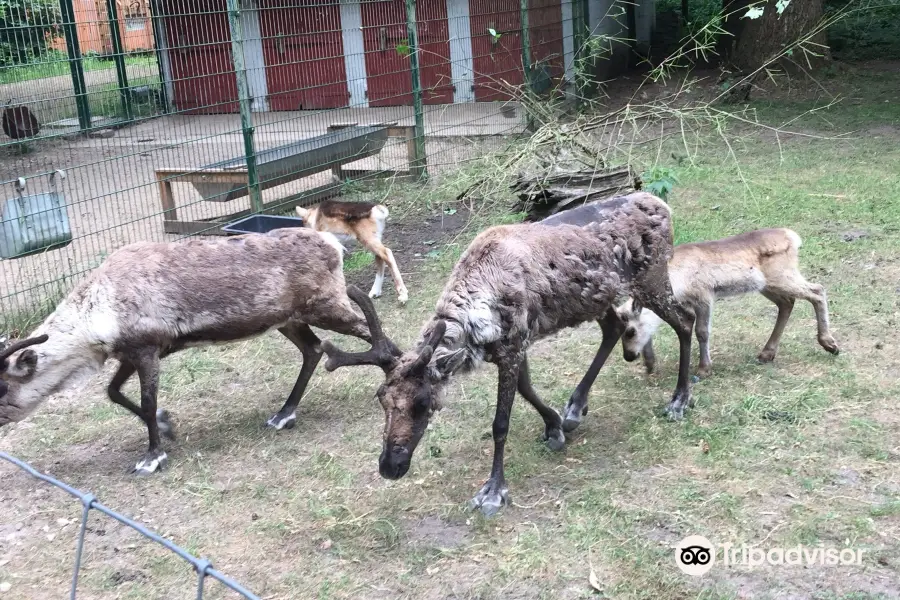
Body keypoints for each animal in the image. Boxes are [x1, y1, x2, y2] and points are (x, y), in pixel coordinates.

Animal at [0, 229, 372, 474]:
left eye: (4, 386)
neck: (96, 311)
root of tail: (333, 243)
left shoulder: (147, 349)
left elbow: (146, 402)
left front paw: (153, 457)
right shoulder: (131, 354)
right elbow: (113, 392)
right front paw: (167, 426)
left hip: (327, 307)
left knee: (367, 330)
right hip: (288, 320)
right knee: (313, 349)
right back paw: (284, 414)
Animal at [324, 193, 696, 516]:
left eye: (423, 402)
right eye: (381, 397)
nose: (390, 466)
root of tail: (662, 204)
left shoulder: (512, 347)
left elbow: (500, 423)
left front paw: (493, 490)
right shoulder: (514, 345)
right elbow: (527, 388)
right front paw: (555, 425)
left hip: (652, 279)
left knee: (685, 321)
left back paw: (679, 399)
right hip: (598, 297)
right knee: (616, 327)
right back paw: (576, 407)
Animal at [616, 227, 840, 378]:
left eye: (630, 331)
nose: (628, 356)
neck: (676, 283)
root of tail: (793, 237)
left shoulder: (704, 295)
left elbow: (702, 332)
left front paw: (704, 368)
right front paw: (650, 364)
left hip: (783, 276)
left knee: (817, 290)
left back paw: (829, 343)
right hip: (767, 285)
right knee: (787, 303)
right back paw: (767, 353)